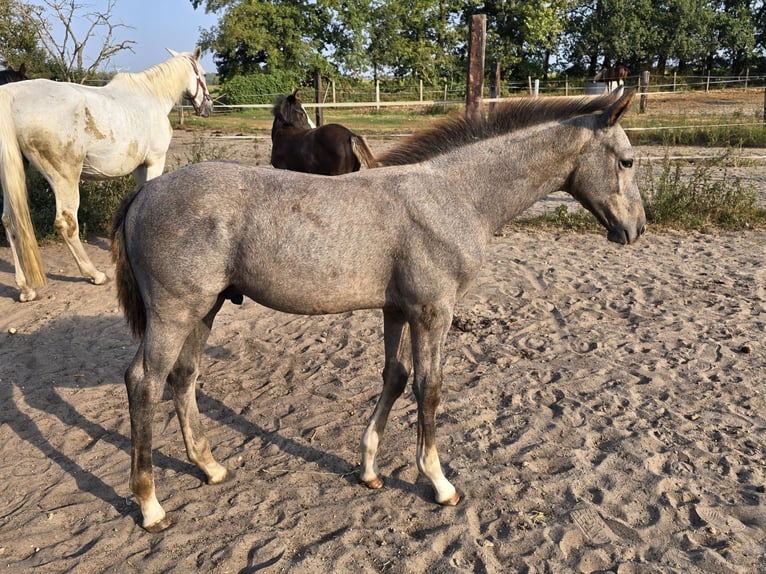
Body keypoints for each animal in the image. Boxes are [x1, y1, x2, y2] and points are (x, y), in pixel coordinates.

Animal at [0, 47, 213, 302]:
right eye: (203, 74)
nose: (209, 107)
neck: (151, 97)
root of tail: (12, 96)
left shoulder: (140, 167)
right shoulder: (155, 161)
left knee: (10, 221)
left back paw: (25, 288)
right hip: (65, 177)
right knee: (66, 223)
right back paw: (95, 274)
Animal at [111, 89, 645, 532]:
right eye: (627, 160)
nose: (636, 228)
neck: (454, 196)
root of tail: (145, 193)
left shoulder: (397, 310)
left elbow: (395, 375)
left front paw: (368, 469)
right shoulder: (433, 311)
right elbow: (429, 388)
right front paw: (439, 482)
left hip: (206, 309)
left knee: (184, 376)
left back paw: (210, 467)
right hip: (174, 312)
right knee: (145, 382)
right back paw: (151, 506)